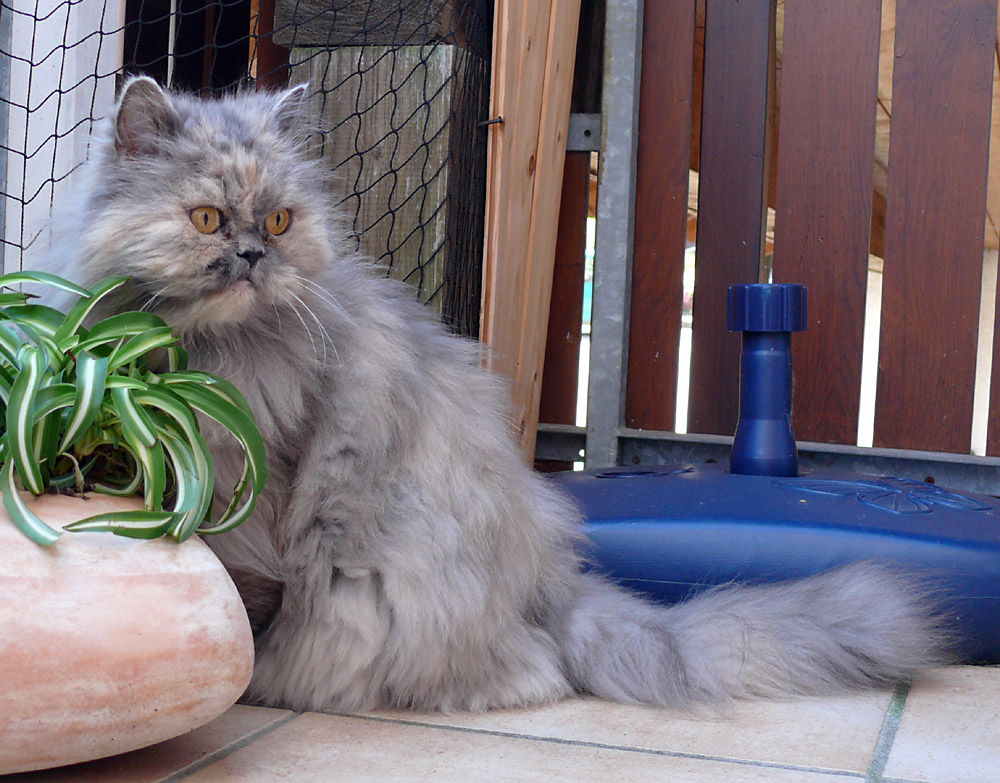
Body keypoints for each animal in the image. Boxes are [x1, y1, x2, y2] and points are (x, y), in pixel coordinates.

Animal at [52, 78, 944, 712]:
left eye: (277, 222)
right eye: (207, 219)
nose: (249, 256)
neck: (208, 354)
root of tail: (551, 588)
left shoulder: (259, 494)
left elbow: (249, 596)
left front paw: (242, 681)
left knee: (532, 675)